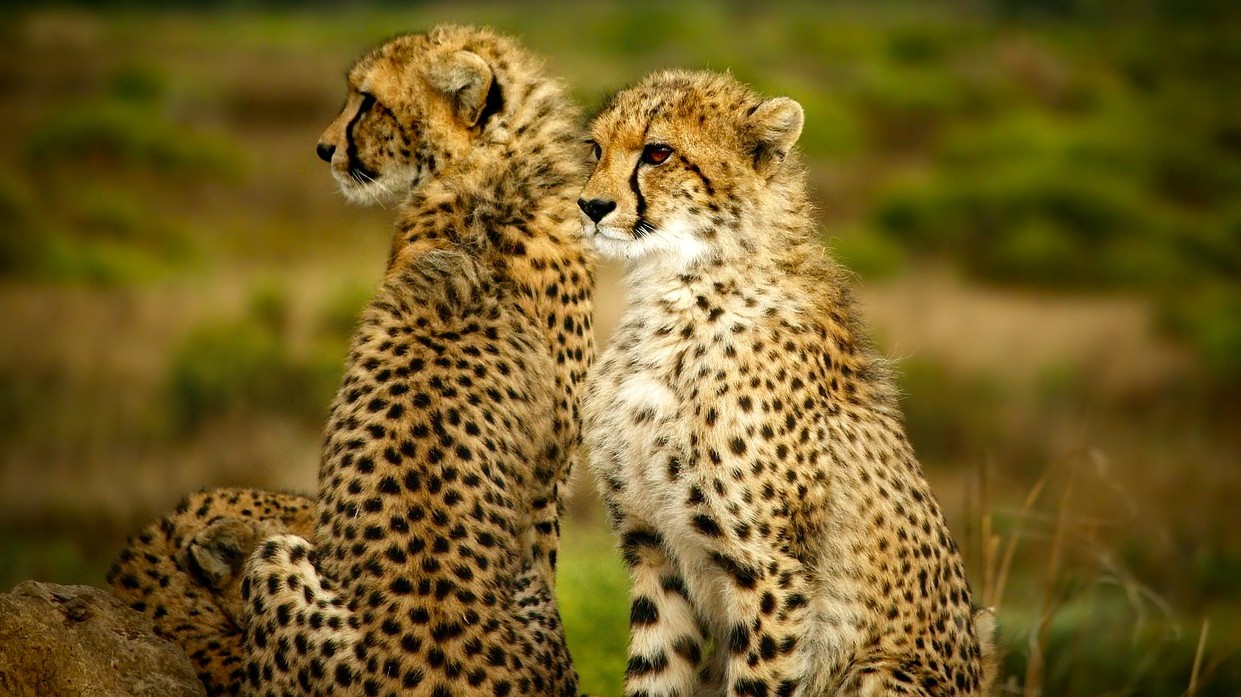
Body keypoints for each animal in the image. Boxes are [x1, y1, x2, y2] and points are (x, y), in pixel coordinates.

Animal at [578, 69, 997, 697]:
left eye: (658, 153)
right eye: (595, 149)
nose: (591, 205)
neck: (676, 288)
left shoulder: (770, 571)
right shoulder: (653, 552)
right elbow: (656, 673)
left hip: (879, 671)